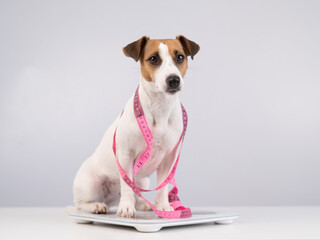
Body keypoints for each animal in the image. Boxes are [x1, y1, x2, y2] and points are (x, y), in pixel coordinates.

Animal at [72, 35, 200, 218]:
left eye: (180, 57)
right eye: (153, 59)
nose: (173, 80)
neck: (160, 107)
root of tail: (110, 198)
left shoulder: (168, 159)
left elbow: (163, 186)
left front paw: (163, 206)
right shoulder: (126, 155)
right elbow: (127, 186)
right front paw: (126, 208)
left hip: (143, 181)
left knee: (137, 193)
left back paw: (143, 204)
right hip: (90, 183)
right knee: (80, 205)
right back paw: (97, 205)